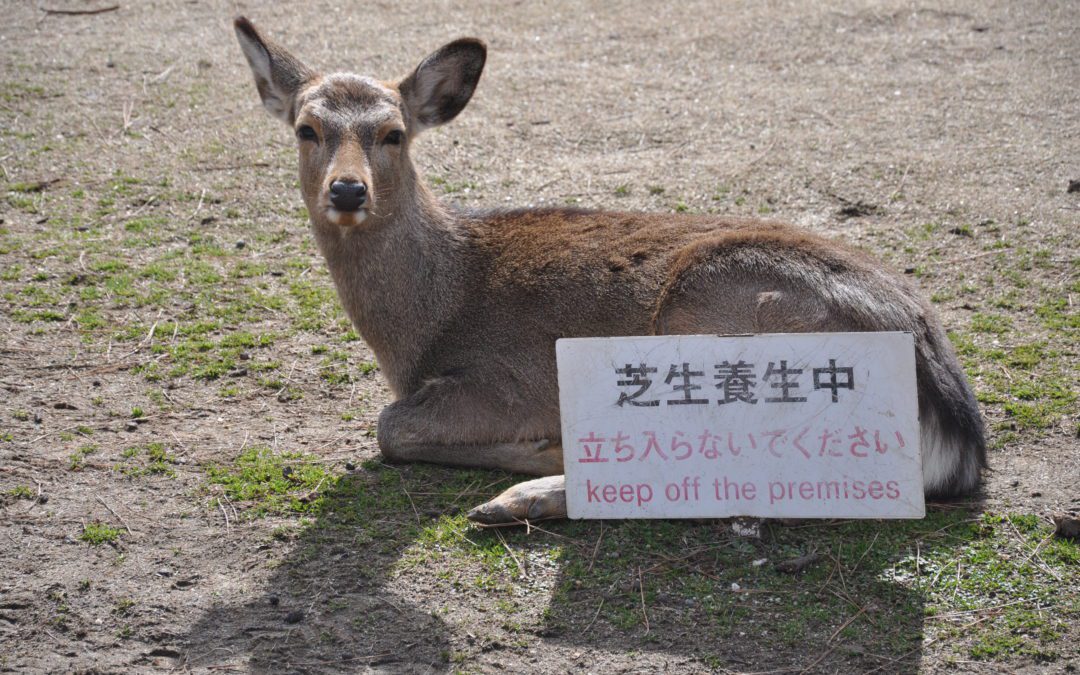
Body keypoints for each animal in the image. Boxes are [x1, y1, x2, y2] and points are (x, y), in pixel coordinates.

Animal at [233, 17, 987, 525]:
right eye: (306, 129)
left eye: (393, 133)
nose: (347, 190)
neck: (424, 324)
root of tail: (960, 431)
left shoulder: (508, 379)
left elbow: (389, 427)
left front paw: (538, 445)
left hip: (717, 318)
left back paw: (520, 494)